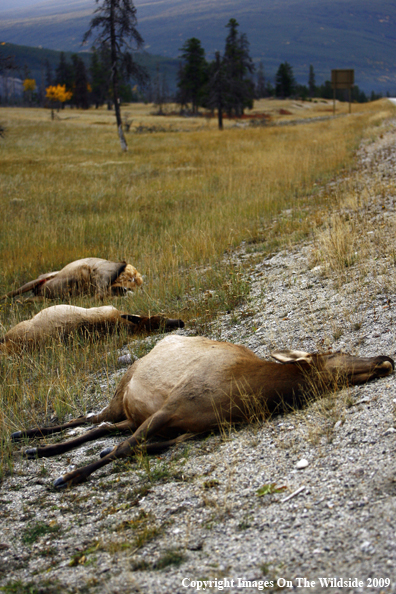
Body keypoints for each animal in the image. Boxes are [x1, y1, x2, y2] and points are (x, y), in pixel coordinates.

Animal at [11, 332, 392, 486]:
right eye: (336, 352)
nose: (384, 358)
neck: (243, 395)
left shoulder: (196, 428)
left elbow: (143, 446)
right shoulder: (171, 406)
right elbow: (124, 449)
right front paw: (68, 477)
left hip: (130, 413)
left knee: (102, 427)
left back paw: (37, 448)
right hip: (122, 390)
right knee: (88, 417)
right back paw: (29, 440)